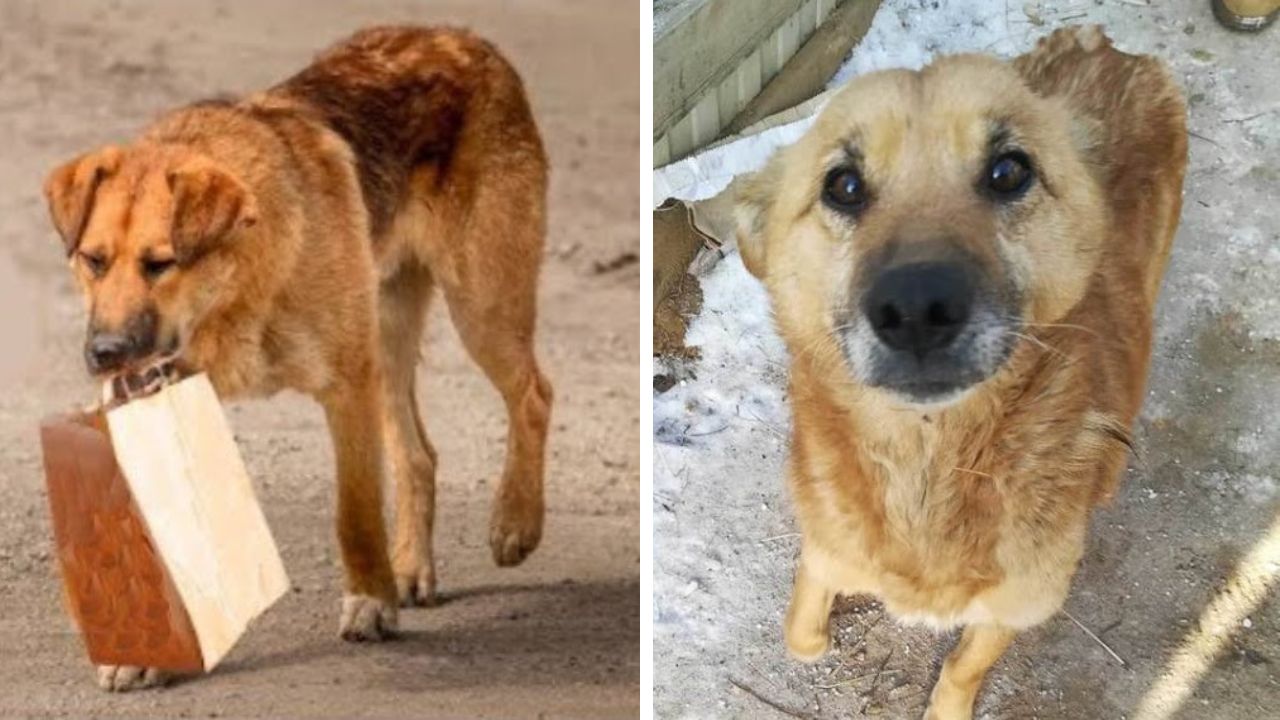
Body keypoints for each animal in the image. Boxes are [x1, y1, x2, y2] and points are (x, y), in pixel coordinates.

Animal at [42, 25, 552, 691]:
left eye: (161, 264)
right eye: (94, 261)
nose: (104, 355)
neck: (236, 289)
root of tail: (465, 40)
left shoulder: (346, 385)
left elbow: (354, 512)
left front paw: (369, 602)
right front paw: (139, 650)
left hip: (479, 307)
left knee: (533, 395)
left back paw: (515, 522)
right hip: (389, 339)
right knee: (419, 454)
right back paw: (411, 566)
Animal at [737, 25, 1182, 712]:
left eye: (1009, 171)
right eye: (843, 185)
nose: (917, 308)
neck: (928, 468)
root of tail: (1104, 44)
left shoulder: (1016, 606)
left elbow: (963, 668)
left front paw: (946, 705)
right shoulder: (826, 544)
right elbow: (803, 626)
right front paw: (815, 632)